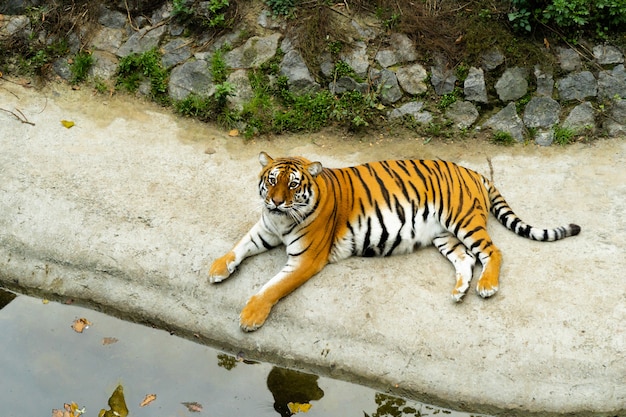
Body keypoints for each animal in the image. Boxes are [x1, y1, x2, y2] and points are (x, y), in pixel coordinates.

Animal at [210, 151, 580, 330]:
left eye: (292, 185)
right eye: (272, 180)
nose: (274, 201)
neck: (281, 219)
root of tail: (474, 171)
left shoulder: (306, 259)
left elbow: (272, 287)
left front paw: (250, 317)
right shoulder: (264, 229)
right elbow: (239, 245)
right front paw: (217, 268)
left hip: (463, 221)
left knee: (492, 251)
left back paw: (486, 286)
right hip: (443, 235)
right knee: (466, 258)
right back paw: (460, 290)